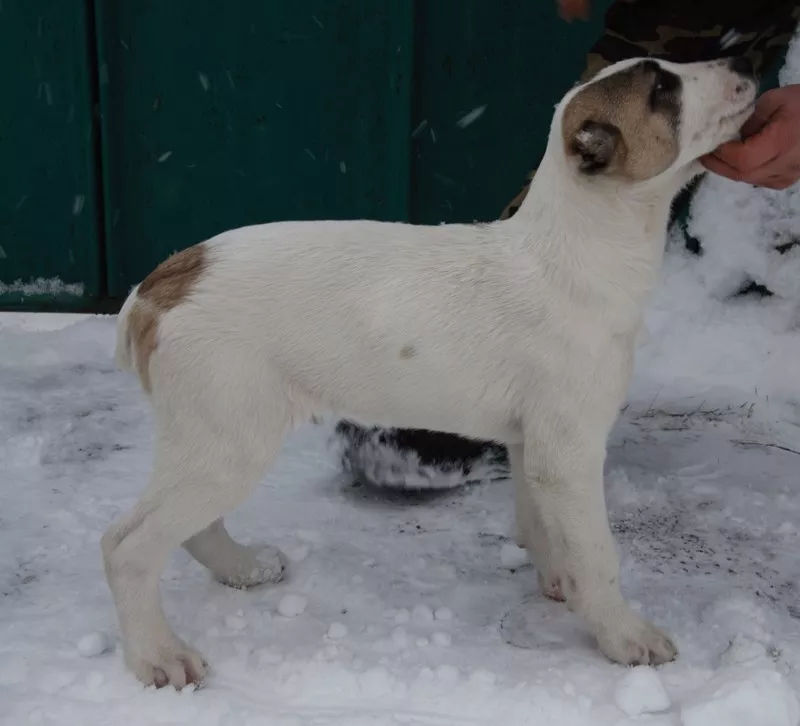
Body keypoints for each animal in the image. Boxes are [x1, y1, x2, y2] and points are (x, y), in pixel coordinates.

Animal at [104, 55, 756, 688]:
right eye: (662, 89)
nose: (745, 66)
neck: (574, 250)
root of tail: (160, 283)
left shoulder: (533, 446)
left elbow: (545, 529)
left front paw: (559, 585)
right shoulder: (569, 453)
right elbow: (598, 556)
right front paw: (624, 636)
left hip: (213, 442)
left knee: (187, 528)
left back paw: (243, 569)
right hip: (228, 441)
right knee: (128, 545)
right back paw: (159, 655)